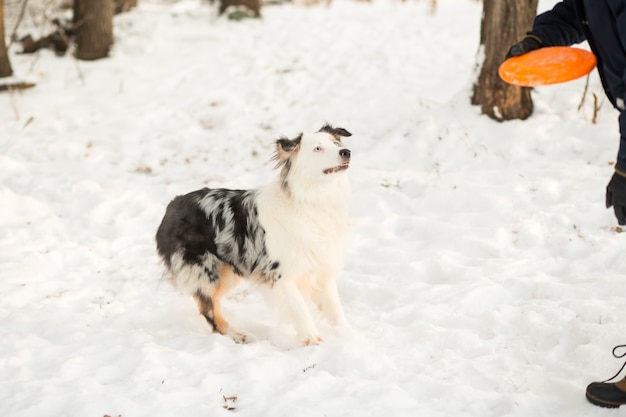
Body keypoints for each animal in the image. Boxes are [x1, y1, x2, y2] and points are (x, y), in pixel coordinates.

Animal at [154, 123, 354, 344]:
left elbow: (335, 310)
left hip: (227, 271)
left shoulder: (321, 269)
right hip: (206, 269)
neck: (312, 199)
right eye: (317, 149)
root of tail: (173, 204)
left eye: (336, 144)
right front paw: (312, 340)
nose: (346, 152)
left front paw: (346, 335)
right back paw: (237, 334)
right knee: (209, 309)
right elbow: (300, 309)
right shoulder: (280, 274)